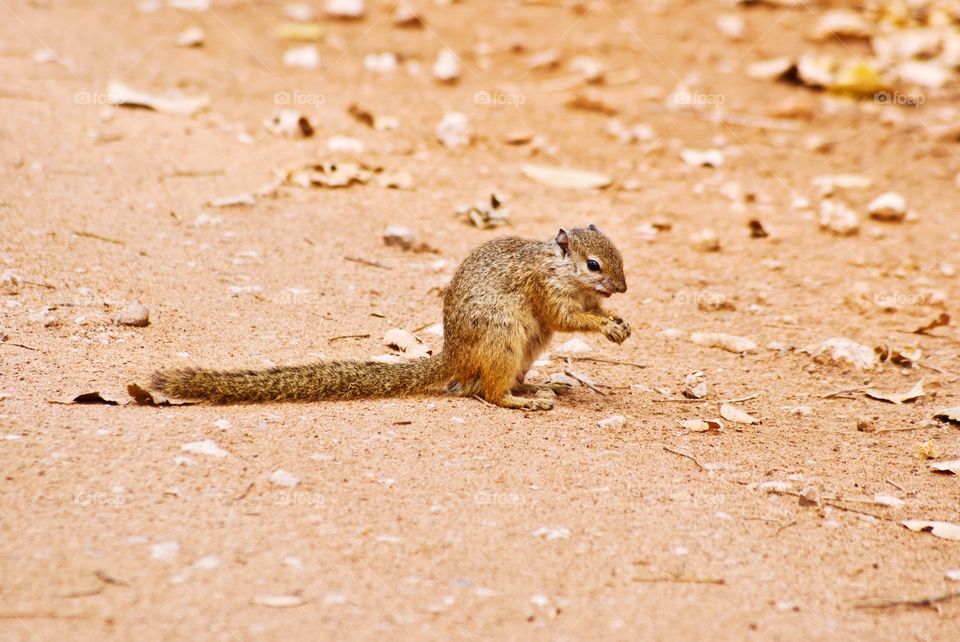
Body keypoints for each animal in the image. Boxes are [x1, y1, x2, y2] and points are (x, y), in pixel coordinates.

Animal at [150, 225, 630, 411]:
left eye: (619, 257)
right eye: (594, 265)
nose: (624, 288)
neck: (558, 268)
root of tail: (453, 358)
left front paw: (620, 323)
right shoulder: (547, 292)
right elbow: (569, 318)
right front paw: (607, 326)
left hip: (526, 349)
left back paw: (538, 387)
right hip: (505, 341)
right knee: (489, 392)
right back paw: (524, 401)